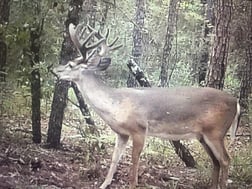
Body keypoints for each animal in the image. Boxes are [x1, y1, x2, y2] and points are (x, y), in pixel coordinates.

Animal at [53, 23, 240, 189]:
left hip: (215, 131)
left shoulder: (139, 129)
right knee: (216, 161)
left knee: (225, 160)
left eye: (70, 64)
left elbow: (134, 163)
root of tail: (236, 103)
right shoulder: (122, 134)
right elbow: (114, 160)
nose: (53, 69)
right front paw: (103, 184)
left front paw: (132, 184)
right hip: (202, 135)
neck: (115, 105)